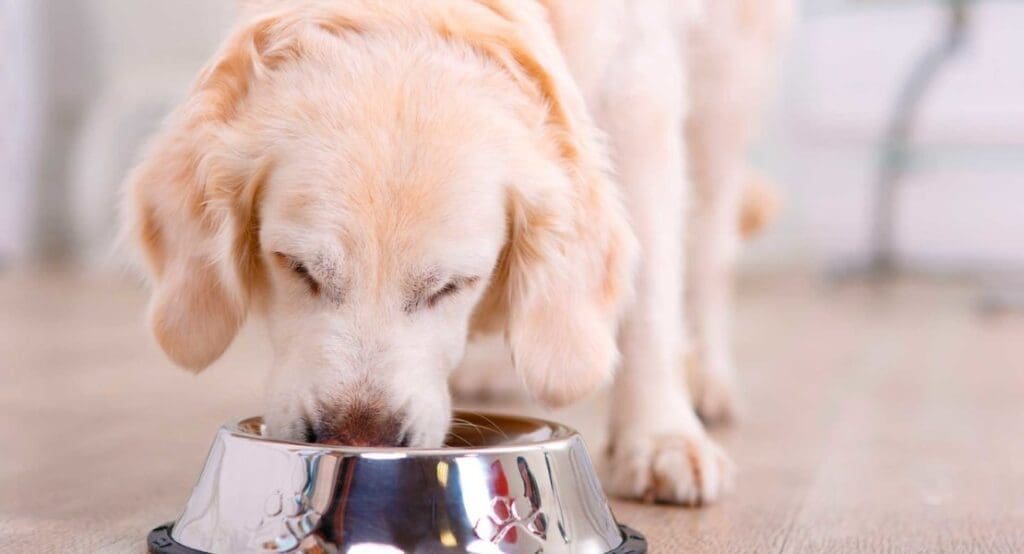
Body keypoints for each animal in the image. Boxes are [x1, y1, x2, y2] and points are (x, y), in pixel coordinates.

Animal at [125, 0, 790, 503]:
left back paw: (707, 380)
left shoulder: (639, 89)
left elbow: (651, 293)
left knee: (710, 245)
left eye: (452, 286)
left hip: (726, 85)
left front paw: (660, 437)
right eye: (298, 268)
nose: (356, 437)